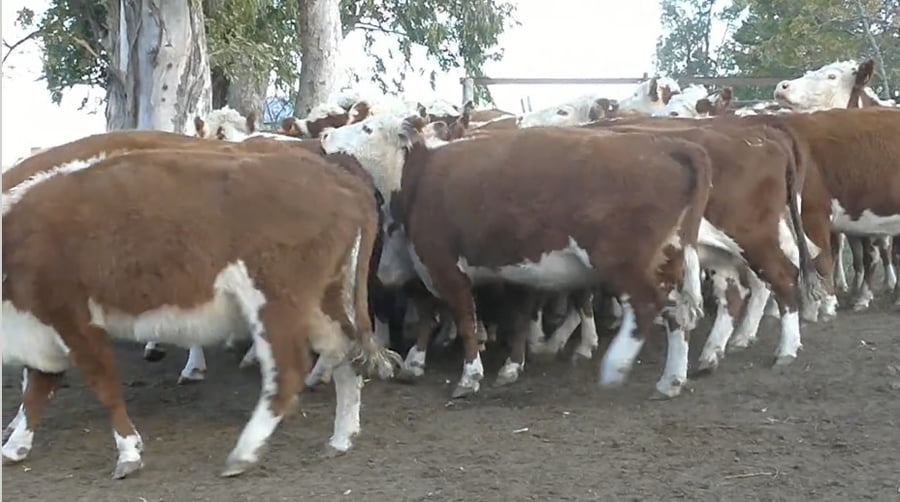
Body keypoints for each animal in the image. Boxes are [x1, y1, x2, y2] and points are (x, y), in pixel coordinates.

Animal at [1, 145, 401, 479]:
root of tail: (341, 179)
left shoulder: (74, 320)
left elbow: (103, 386)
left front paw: (129, 453)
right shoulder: (39, 327)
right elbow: (37, 389)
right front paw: (14, 447)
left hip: (275, 303)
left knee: (288, 373)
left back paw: (244, 453)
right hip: (324, 301)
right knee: (345, 354)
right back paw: (341, 438)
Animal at [323, 114, 712, 399]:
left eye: (367, 127)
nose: (326, 134)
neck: (419, 176)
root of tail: (669, 145)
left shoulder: (443, 263)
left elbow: (464, 317)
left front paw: (470, 376)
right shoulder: (501, 271)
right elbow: (491, 315)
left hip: (622, 259)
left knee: (649, 304)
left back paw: (615, 365)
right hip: (671, 255)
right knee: (679, 311)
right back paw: (671, 380)